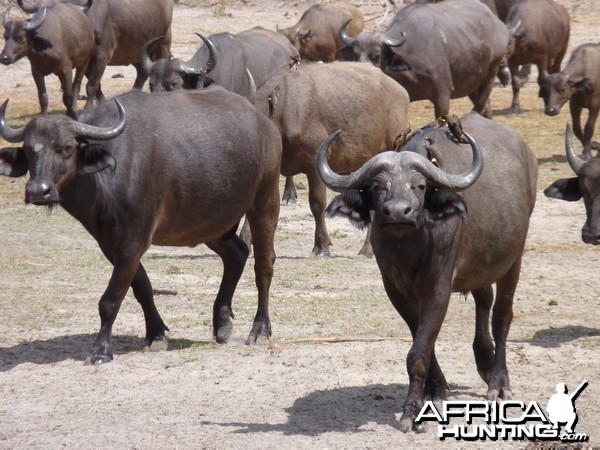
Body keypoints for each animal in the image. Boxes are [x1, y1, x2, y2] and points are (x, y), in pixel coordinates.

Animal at [0, 87, 282, 362]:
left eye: (67, 147)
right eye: (29, 149)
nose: (38, 191)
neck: (106, 178)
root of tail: (266, 125)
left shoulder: (134, 240)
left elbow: (111, 299)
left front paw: (101, 350)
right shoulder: (111, 244)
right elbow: (141, 287)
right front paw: (156, 334)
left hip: (265, 200)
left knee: (263, 265)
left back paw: (260, 330)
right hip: (211, 223)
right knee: (237, 254)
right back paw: (222, 323)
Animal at [255, 62, 410, 256]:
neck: (285, 111)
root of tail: (400, 90)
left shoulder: (314, 165)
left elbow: (317, 204)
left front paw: (321, 246)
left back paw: (368, 249)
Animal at [340, 0, 508, 118]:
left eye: (377, 55)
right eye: (355, 55)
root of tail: (498, 25)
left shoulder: (442, 95)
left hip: (491, 71)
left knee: (481, 106)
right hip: (472, 83)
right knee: (487, 109)